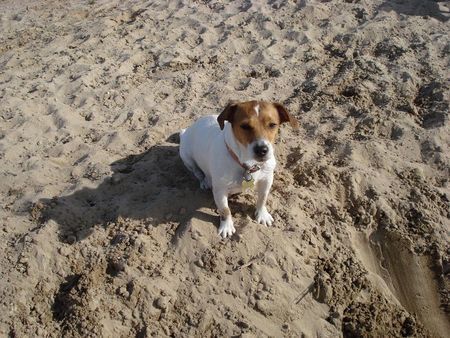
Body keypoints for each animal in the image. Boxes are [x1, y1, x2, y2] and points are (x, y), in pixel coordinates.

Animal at [179, 100, 298, 238]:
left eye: (272, 125)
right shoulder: (220, 190)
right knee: (197, 172)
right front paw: (227, 226)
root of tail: (187, 131)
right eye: (245, 126)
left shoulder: (267, 179)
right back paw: (205, 181)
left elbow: (262, 199)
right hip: (187, 158)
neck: (249, 164)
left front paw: (262, 214)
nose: (262, 150)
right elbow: (225, 210)